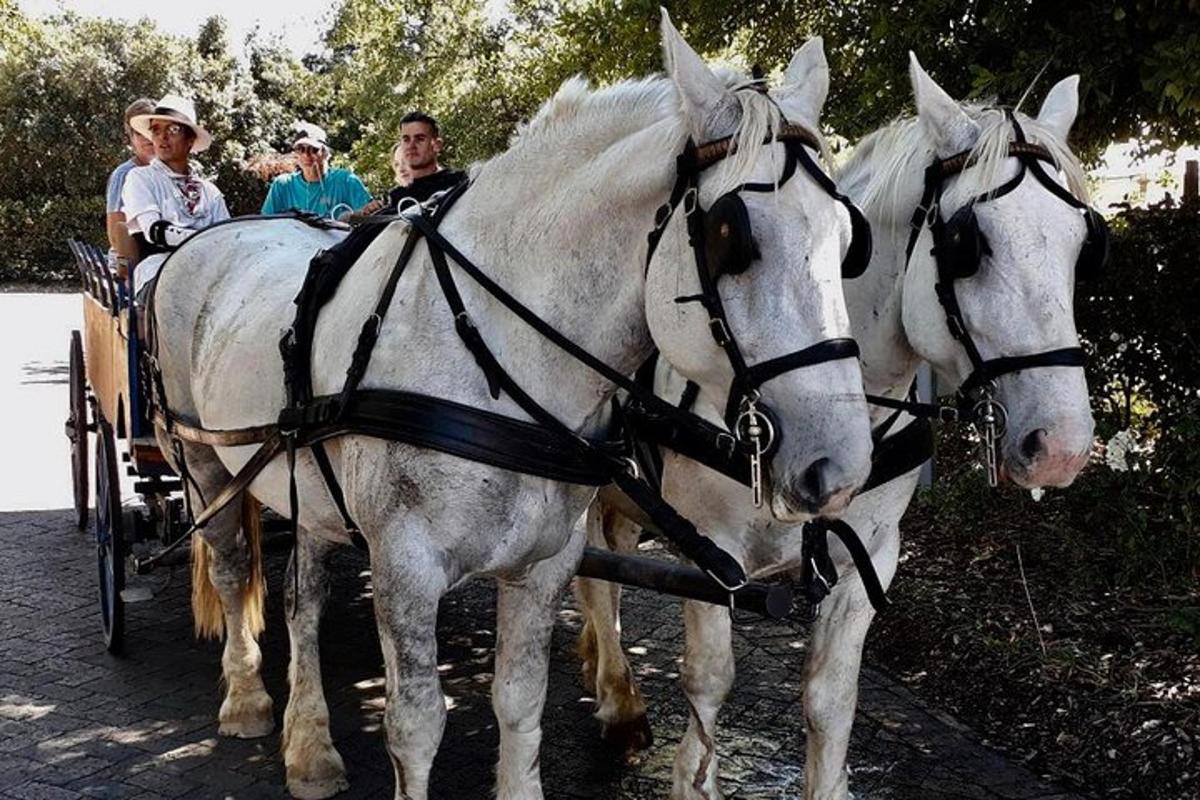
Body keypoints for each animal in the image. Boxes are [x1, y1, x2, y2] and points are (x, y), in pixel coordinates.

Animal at [150, 12, 873, 800]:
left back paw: (310, 746)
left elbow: (519, 700)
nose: (841, 466)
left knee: (302, 599)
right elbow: (415, 726)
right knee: (231, 569)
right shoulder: (405, 567)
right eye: (731, 238)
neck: (496, 357)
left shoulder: (543, 564)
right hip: (201, 461)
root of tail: (206, 239)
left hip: (308, 485)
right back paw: (247, 699)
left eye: (849, 239)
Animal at [576, 53, 1099, 796]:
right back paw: (620, 700)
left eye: (1085, 243)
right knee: (593, 573)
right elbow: (708, 682)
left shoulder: (869, 556)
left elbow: (831, 701)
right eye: (968, 244)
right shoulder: (712, 550)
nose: (1062, 446)